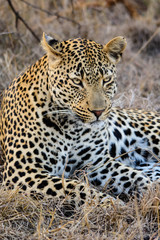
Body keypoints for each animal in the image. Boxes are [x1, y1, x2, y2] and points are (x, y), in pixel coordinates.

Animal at [0, 32, 160, 207]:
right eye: (77, 81)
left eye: (106, 80)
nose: (98, 111)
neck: (72, 128)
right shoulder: (23, 172)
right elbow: (76, 188)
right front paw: (113, 205)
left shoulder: (97, 164)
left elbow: (134, 176)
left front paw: (152, 195)